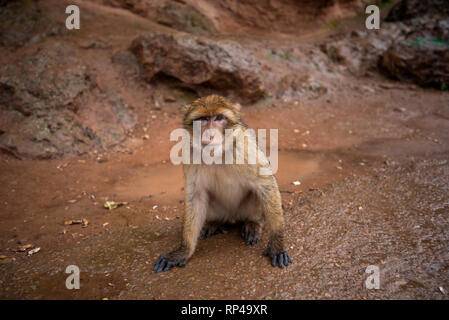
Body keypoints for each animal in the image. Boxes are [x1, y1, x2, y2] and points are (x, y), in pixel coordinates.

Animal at [154, 95, 292, 272]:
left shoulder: (245, 147)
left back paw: (253, 223)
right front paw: (183, 251)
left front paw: (277, 245)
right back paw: (214, 223)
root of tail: (232, 217)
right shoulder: (190, 153)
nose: (210, 134)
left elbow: (265, 183)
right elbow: (196, 195)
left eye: (219, 118)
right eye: (204, 119)